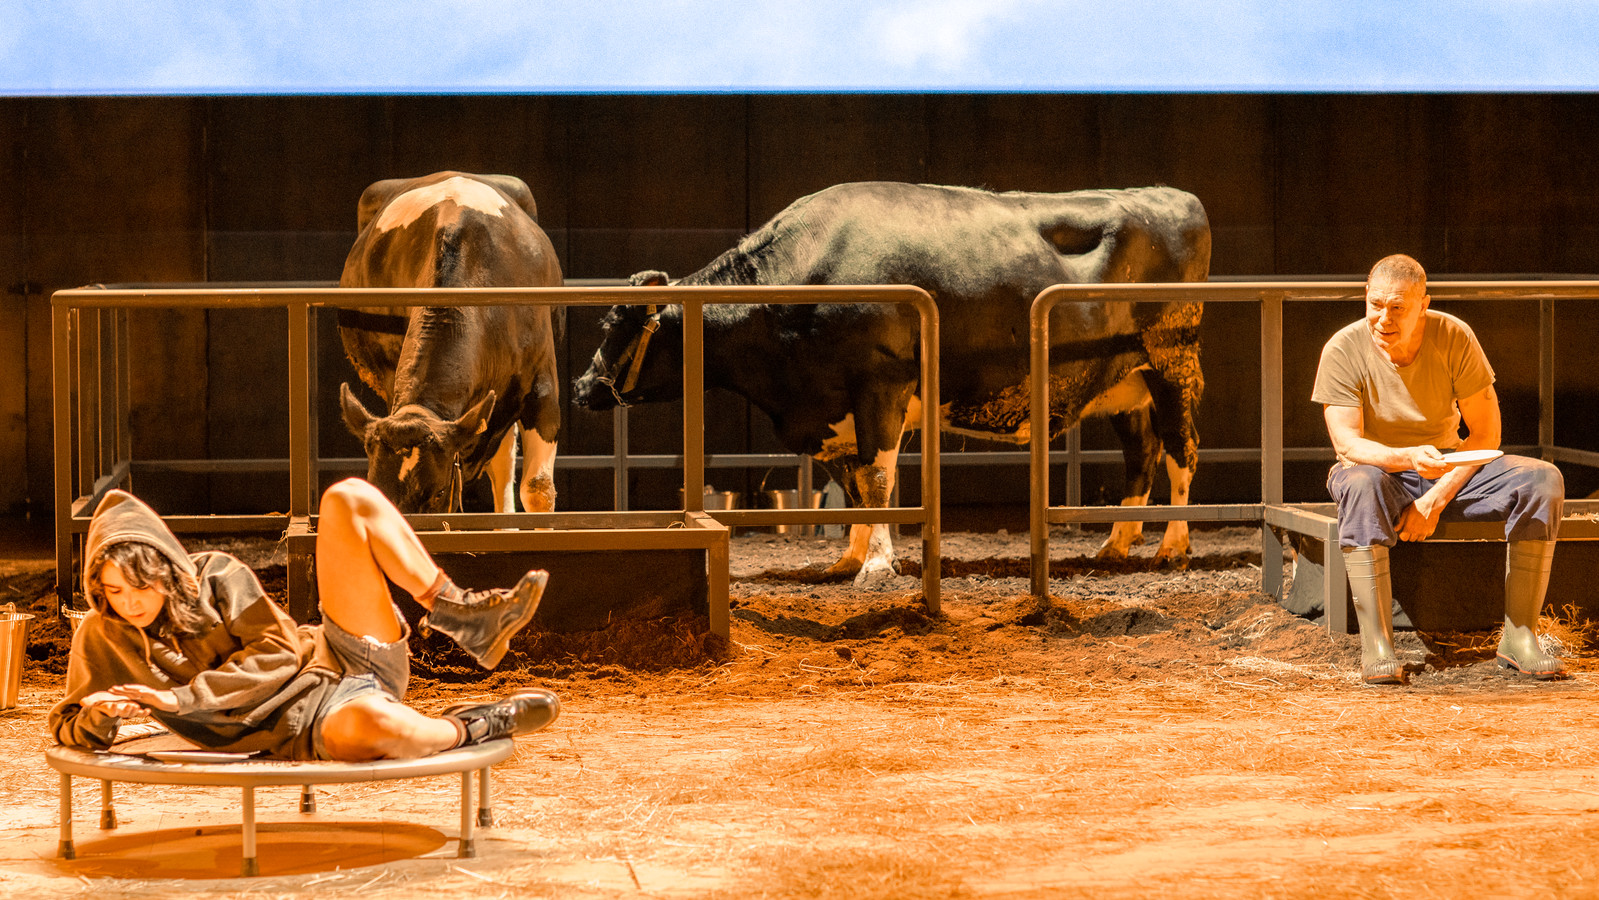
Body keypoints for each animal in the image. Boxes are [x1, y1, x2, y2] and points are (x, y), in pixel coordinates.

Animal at [572, 182, 1209, 585]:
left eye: (612, 324)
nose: (581, 388)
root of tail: (1172, 196)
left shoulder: (878, 384)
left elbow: (876, 478)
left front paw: (878, 565)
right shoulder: (831, 412)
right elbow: (852, 483)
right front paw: (848, 561)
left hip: (1173, 363)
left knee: (1182, 449)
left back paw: (1172, 547)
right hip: (1126, 383)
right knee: (1142, 454)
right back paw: (1117, 545)